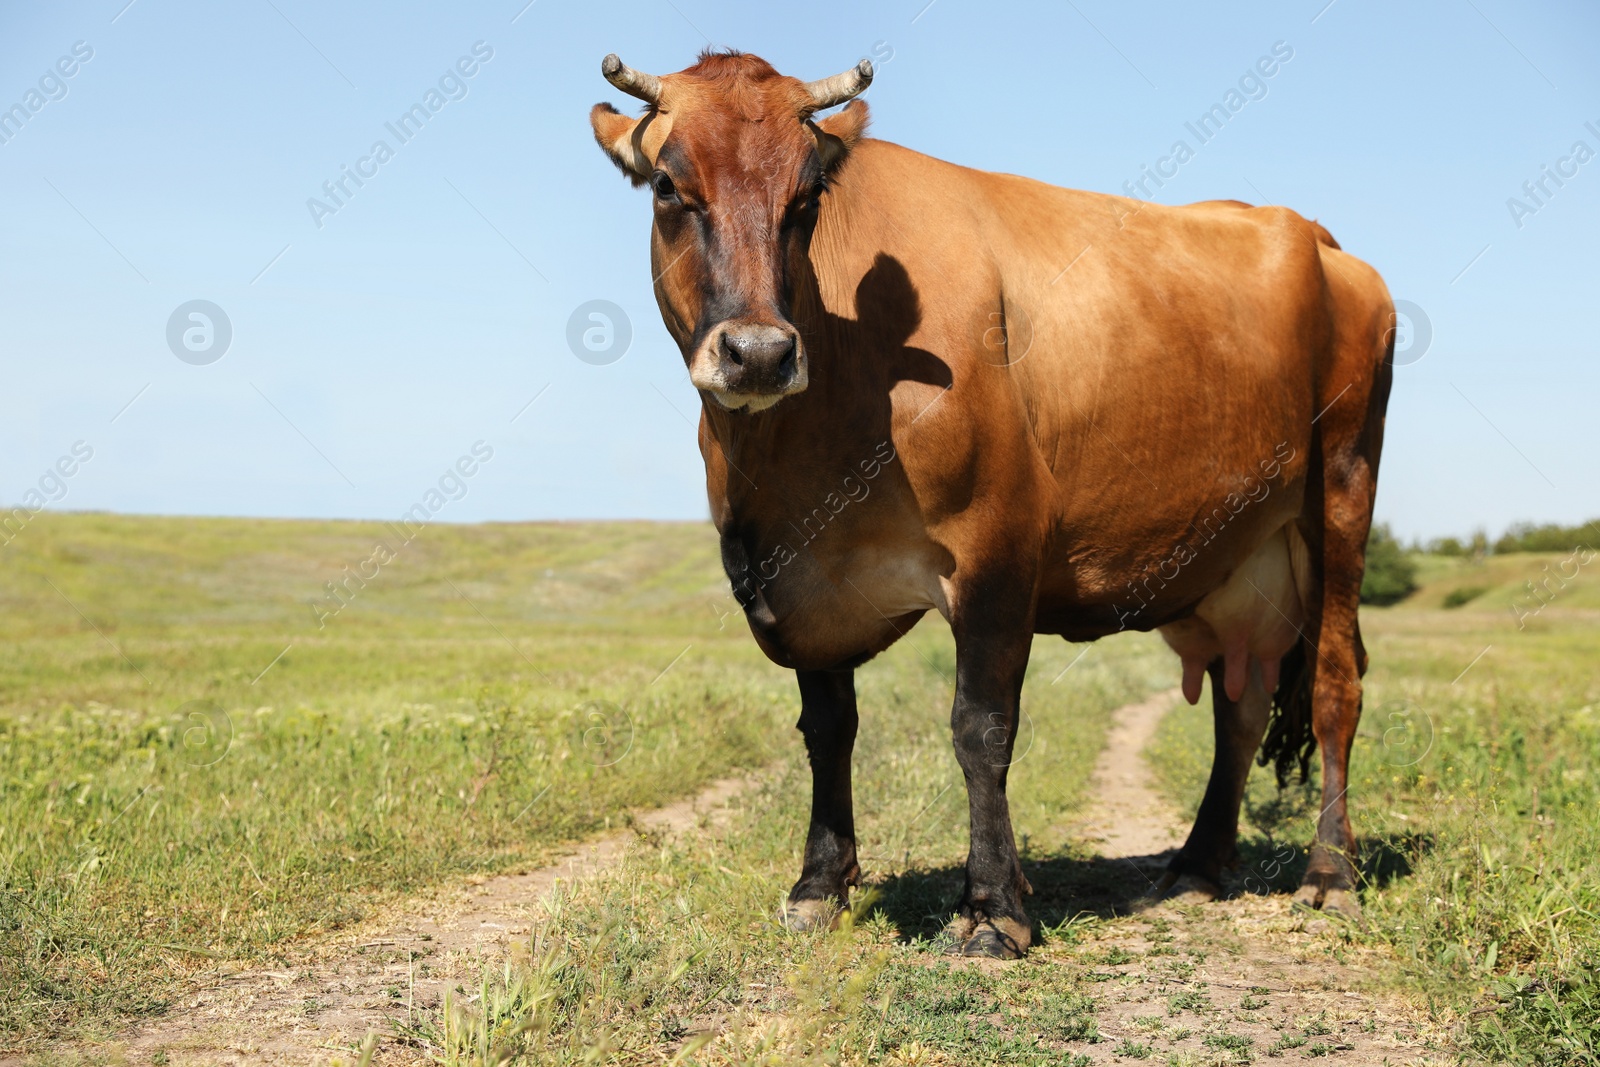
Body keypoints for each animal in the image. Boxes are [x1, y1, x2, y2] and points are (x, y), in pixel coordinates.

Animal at [595, 49, 1395, 953]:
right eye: (668, 185)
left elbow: (980, 727)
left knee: (1335, 683)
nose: (759, 353)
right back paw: (1197, 863)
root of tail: (1319, 238)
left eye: (807, 197)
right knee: (1242, 700)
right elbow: (827, 729)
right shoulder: (797, 576)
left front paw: (992, 906)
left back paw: (1329, 873)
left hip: (1342, 492)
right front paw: (819, 884)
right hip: (1238, 557)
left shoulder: (998, 545)